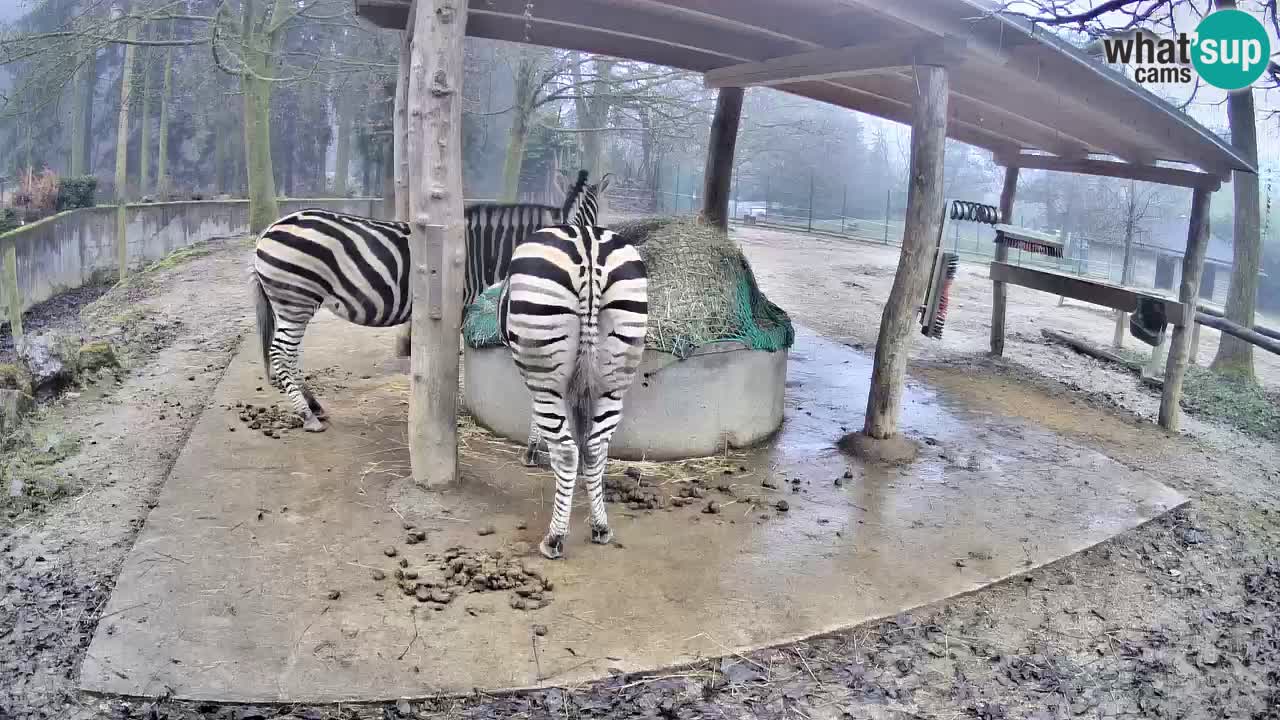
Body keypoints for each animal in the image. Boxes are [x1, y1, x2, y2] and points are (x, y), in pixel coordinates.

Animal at [251, 171, 592, 432]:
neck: (481, 251)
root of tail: (269, 230)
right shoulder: (460, 306)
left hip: (291, 303)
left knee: (289, 355)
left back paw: (314, 405)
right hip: (295, 299)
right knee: (281, 353)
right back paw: (307, 415)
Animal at [497, 223, 648, 559]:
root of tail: (588, 244)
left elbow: (540, 419)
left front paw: (531, 451)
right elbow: (582, 425)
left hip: (544, 367)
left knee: (566, 451)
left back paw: (554, 538)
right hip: (615, 372)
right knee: (595, 446)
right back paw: (601, 526)